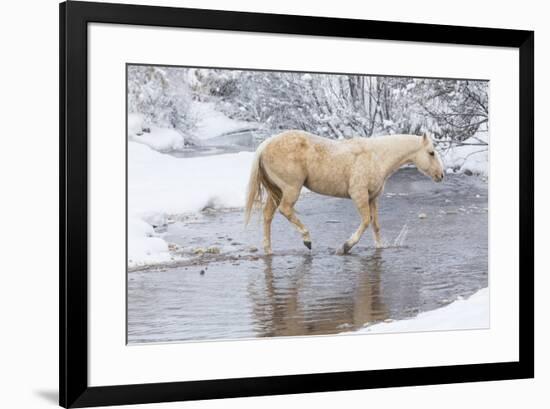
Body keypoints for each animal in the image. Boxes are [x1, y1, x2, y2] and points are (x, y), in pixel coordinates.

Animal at [246, 131, 444, 253]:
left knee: (268, 215)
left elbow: (376, 225)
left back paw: (269, 250)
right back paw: (307, 239)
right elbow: (366, 221)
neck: (376, 156)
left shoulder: (372, 198)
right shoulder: (359, 195)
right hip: (291, 189)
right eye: (431, 153)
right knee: (285, 210)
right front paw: (345, 247)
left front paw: (379, 247)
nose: (441, 175)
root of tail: (265, 145)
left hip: (277, 191)